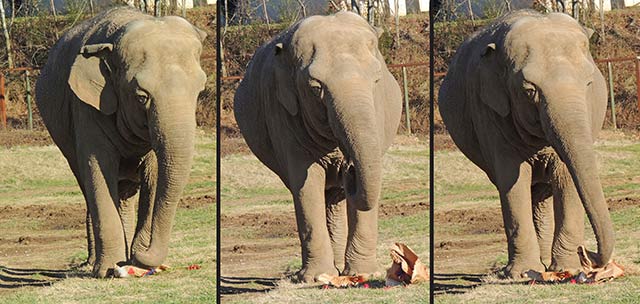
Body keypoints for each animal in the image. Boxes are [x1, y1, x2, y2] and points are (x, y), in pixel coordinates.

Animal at [35, 7, 206, 278]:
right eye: (141, 97)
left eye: (200, 92)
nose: (142, 255)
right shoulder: (85, 108)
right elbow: (98, 169)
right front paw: (107, 270)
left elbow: (155, 173)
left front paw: (132, 262)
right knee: (87, 184)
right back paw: (95, 263)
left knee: (124, 192)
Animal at [232, 11, 402, 282]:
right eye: (315, 88)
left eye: (377, 80)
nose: (349, 168)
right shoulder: (282, 115)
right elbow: (306, 182)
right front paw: (314, 277)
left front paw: (365, 273)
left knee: (334, 198)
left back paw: (340, 268)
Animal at [440, 10, 616, 278]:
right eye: (529, 91)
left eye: (589, 84)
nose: (586, 253)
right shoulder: (489, 113)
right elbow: (512, 180)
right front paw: (522, 273)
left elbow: (566, 177)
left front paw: (567, 267)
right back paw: (536, 265)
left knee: (542, 194)